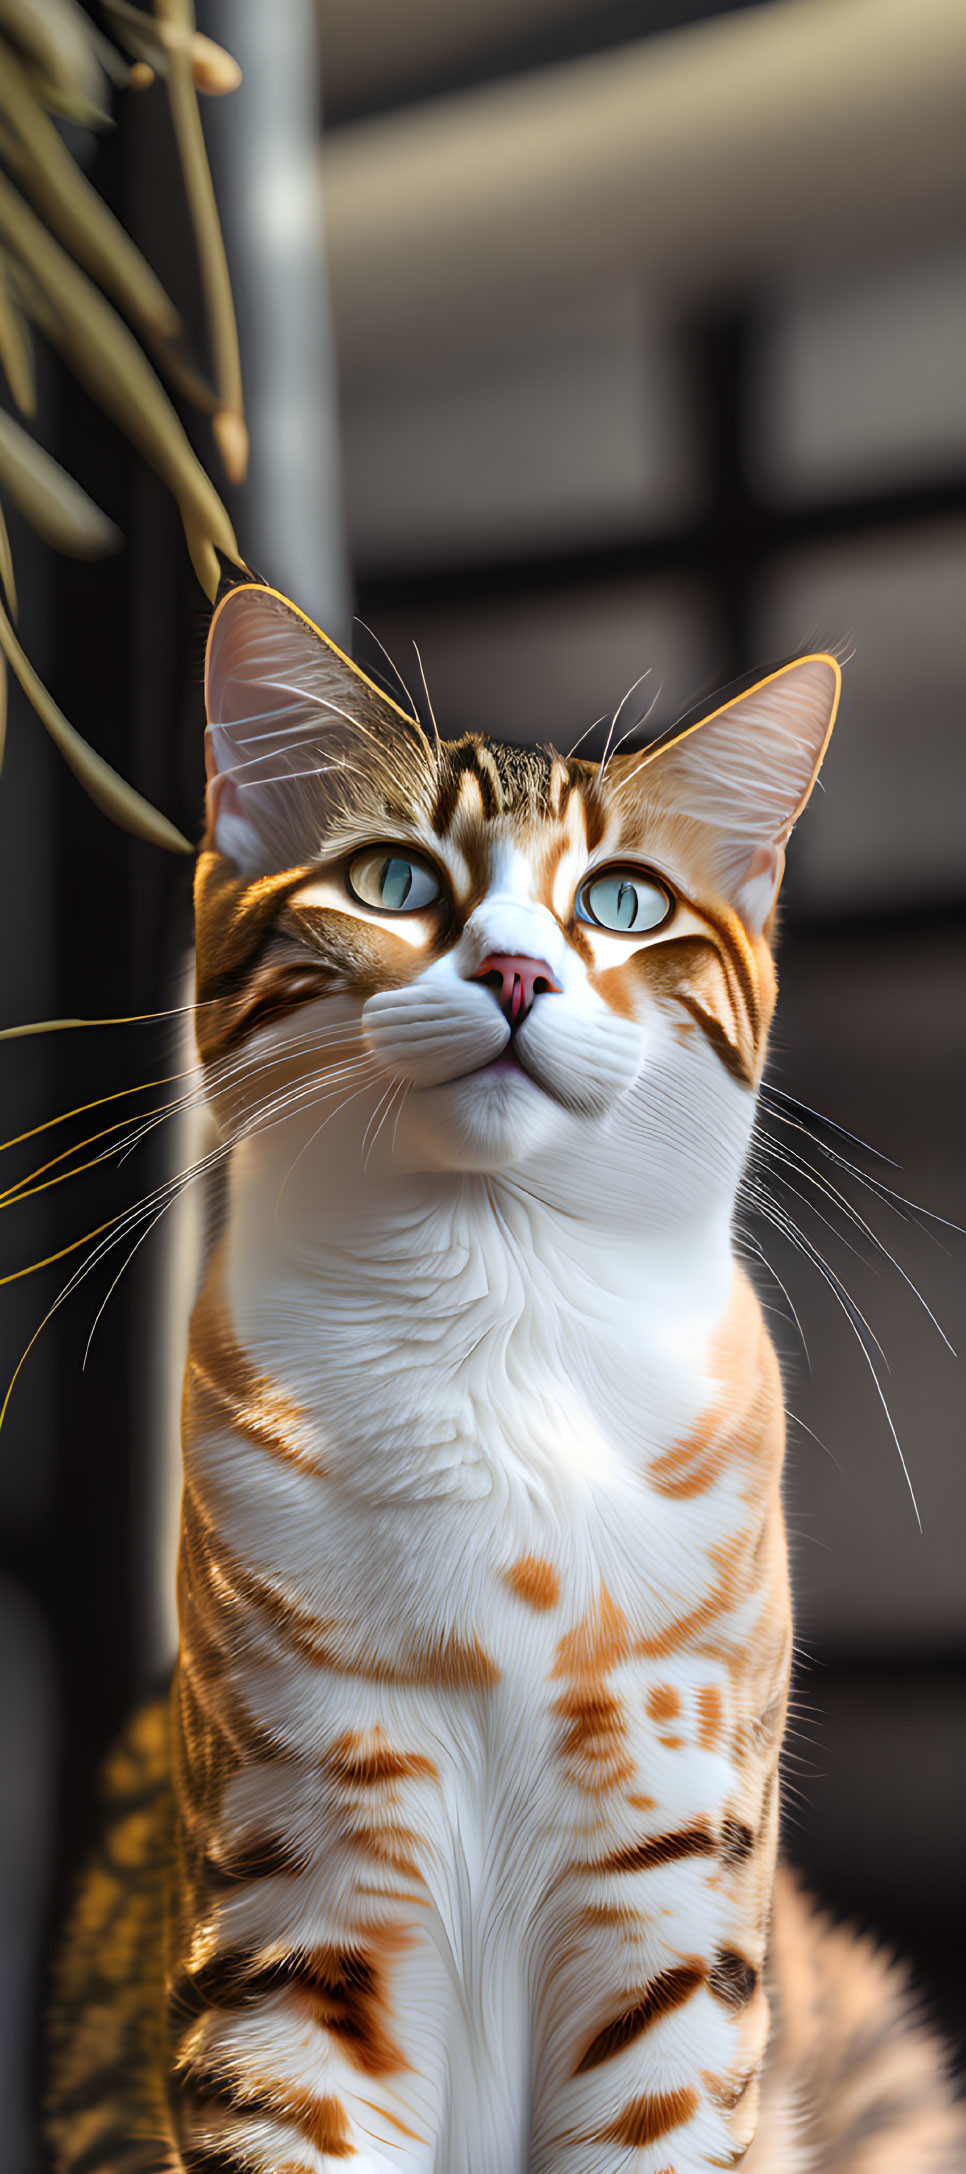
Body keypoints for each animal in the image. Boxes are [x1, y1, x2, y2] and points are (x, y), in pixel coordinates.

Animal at [47, 569, 966, 2165]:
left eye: (622, 901)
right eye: (391, 880)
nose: (520, 968)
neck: (491, 1313)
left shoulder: (672, 1905)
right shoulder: (290, 1911)